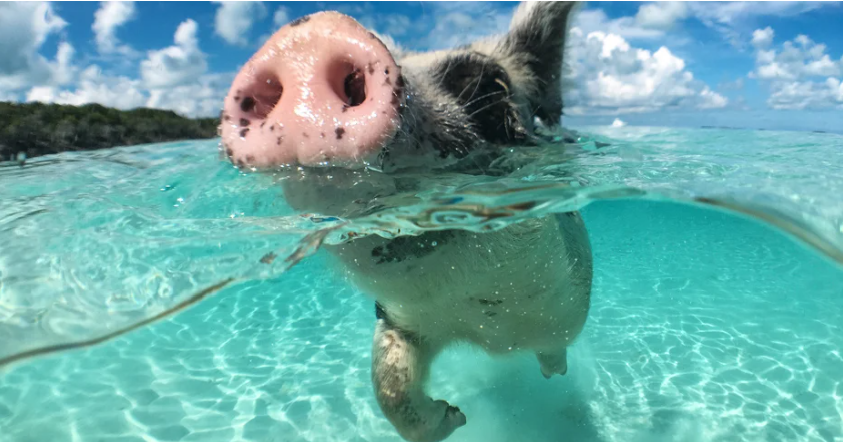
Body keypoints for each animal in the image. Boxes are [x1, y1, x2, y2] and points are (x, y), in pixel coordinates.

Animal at [218, 2, 591, 441]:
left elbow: (554, 346)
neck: (484, 326)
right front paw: (456, 416)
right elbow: (388, 384)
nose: (308, 36)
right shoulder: (397, 319)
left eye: (489, 86)